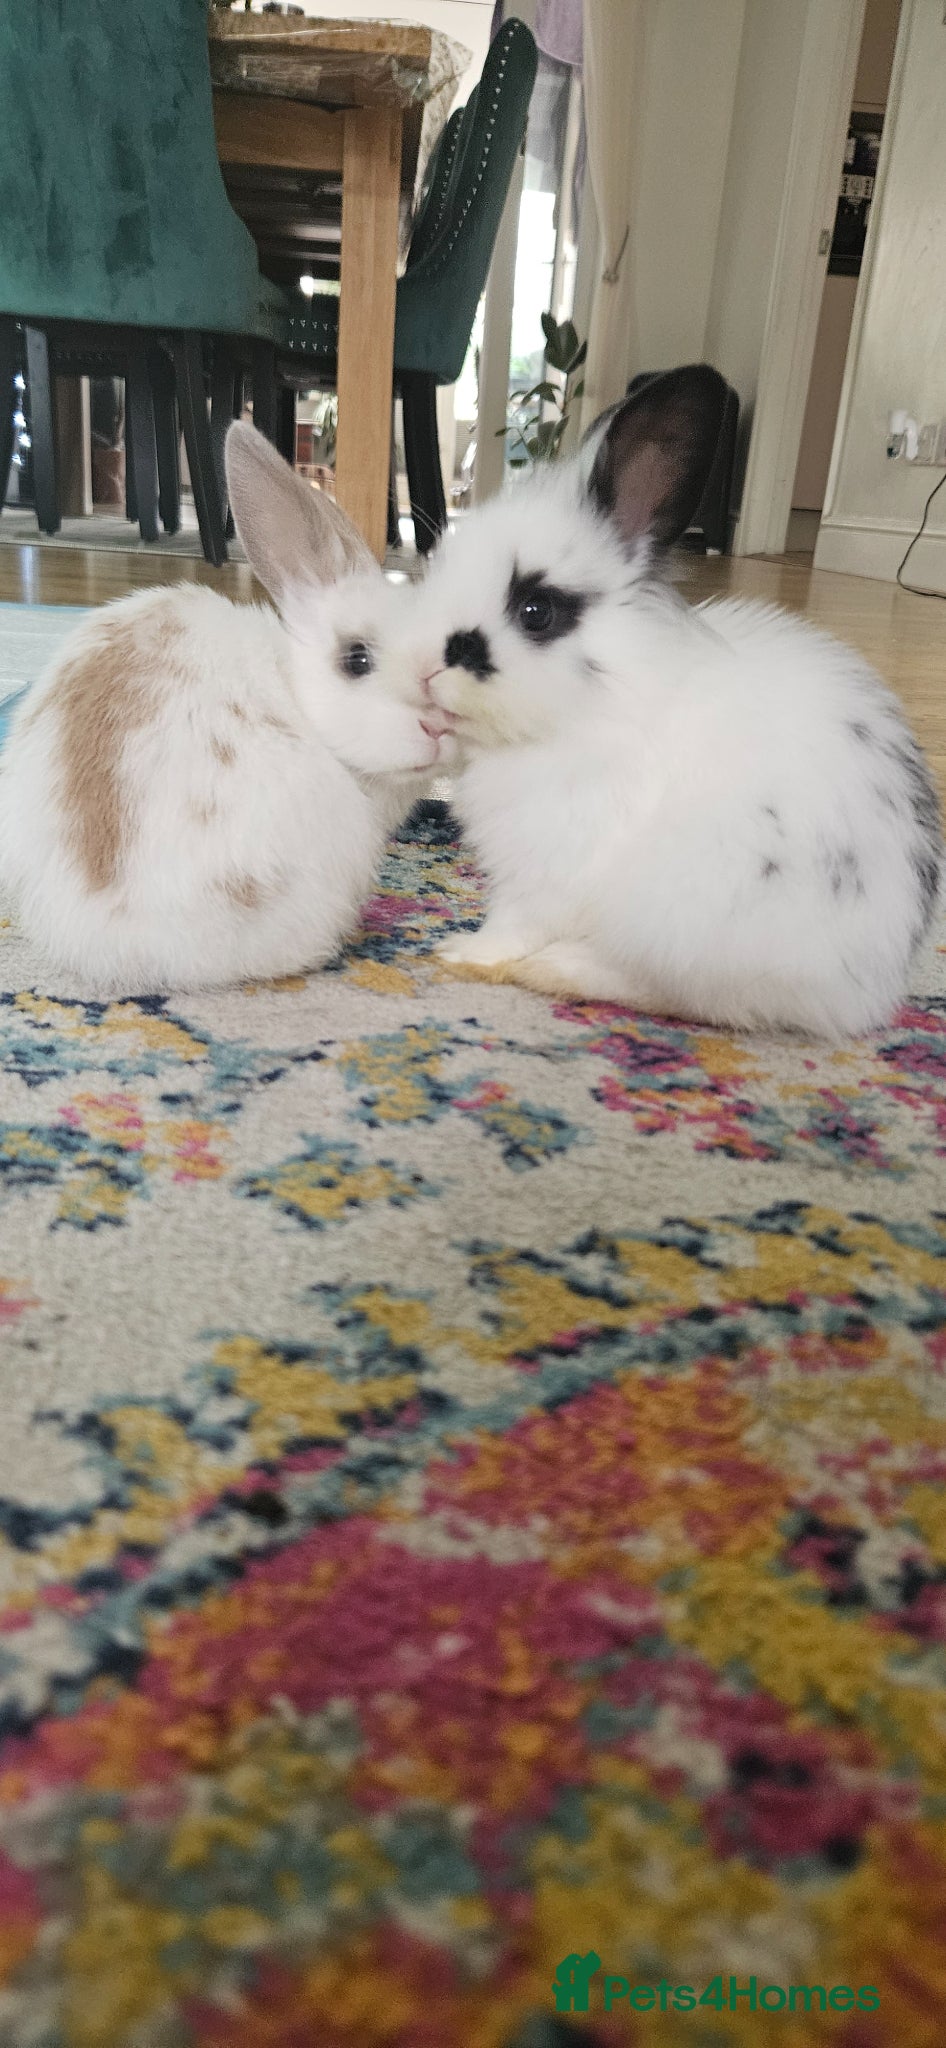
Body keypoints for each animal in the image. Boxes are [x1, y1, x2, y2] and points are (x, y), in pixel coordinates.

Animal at [397, 364, 942, 1038]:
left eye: (536, 611)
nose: (420, 669)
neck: (600, 703)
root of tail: (865, 994)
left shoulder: (553, 864)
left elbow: (516, 921)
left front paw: (463, 954)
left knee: (685, 996)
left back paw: (559, 970)